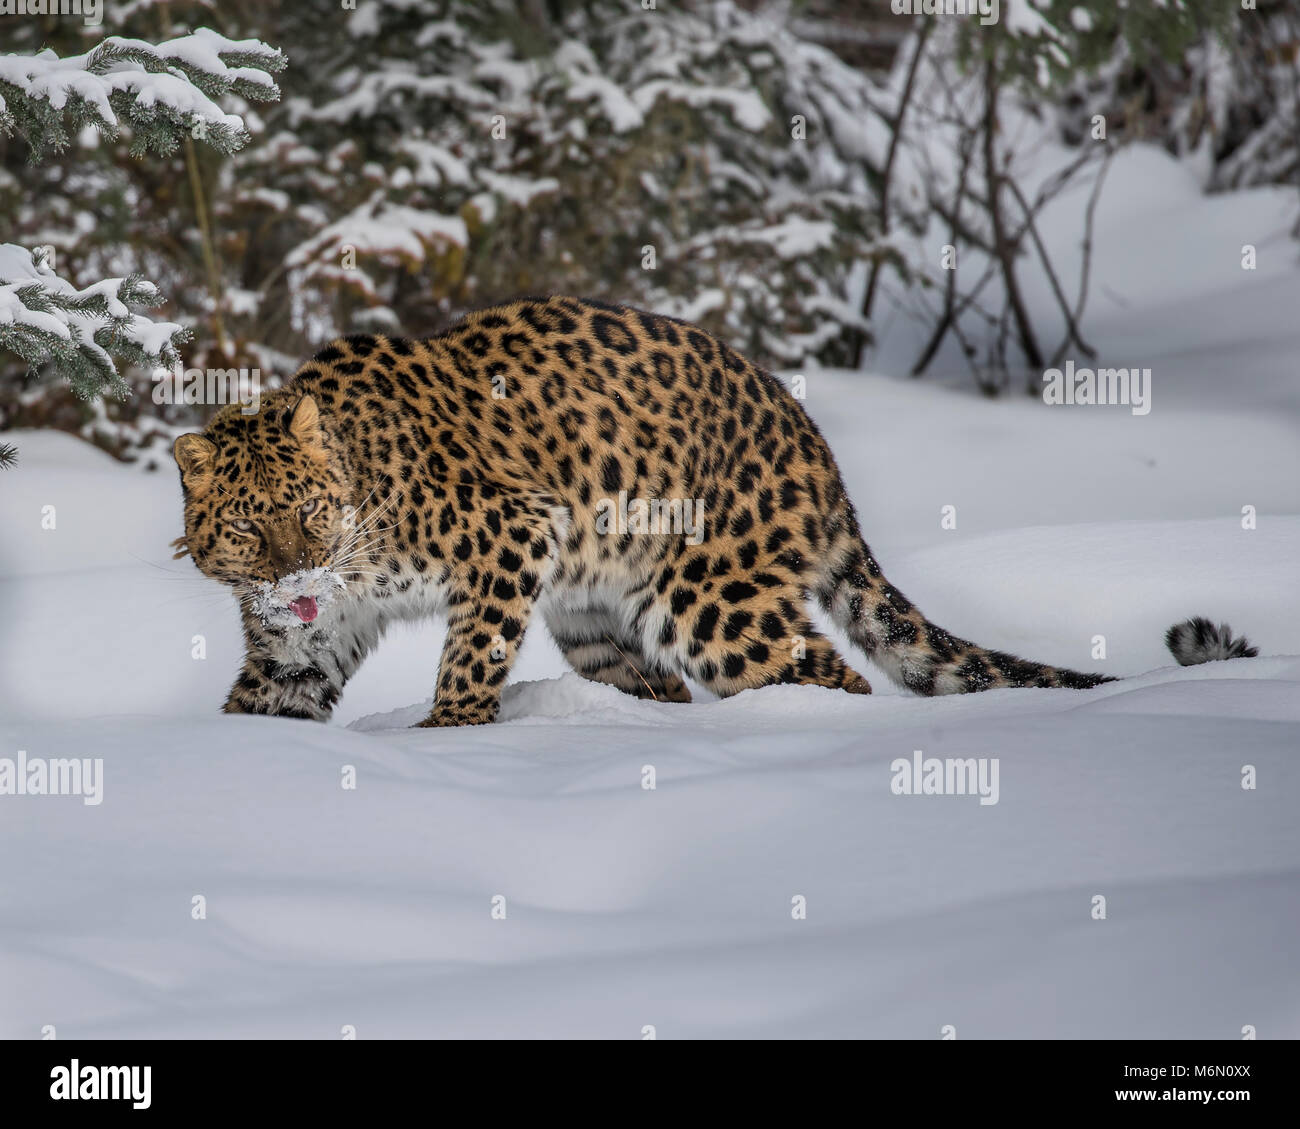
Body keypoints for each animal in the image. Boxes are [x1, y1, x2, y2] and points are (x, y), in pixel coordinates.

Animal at [171, 296, 1258, 727]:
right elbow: (264, 699)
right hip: (596, 619)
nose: (297, 579)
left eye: (313, 511)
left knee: (828, 677)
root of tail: (808, 434)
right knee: (664, 690)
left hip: (711, 597)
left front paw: (449, 736)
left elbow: (468, 658)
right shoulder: (303, 642)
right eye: (249, 527)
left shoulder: (511, 534)